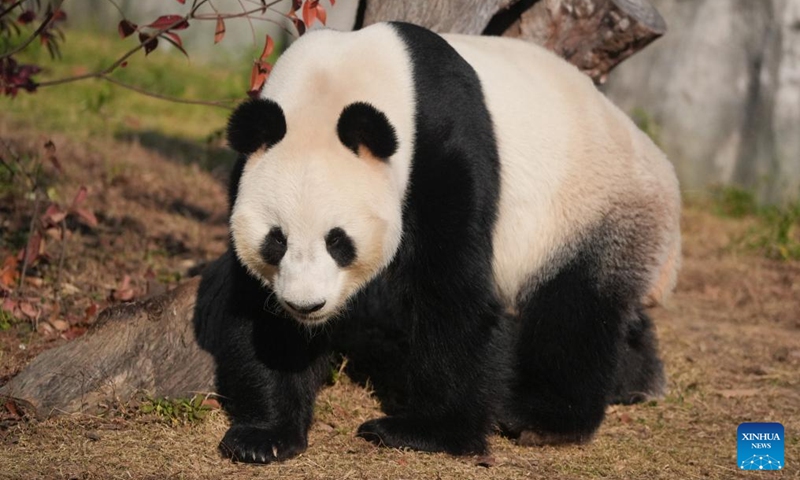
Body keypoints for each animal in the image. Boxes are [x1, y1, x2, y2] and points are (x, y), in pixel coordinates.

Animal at [198, 21, 680, 462]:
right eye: (276, 241)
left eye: (339, 241)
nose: (306, 305)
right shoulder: (248, 172)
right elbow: (259, 310)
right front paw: (266, 435)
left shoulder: (440, 147)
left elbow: (449, 287)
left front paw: (426, 431)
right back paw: (637, 382)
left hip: (591, 209)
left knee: (575, 311)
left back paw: (543, 419)